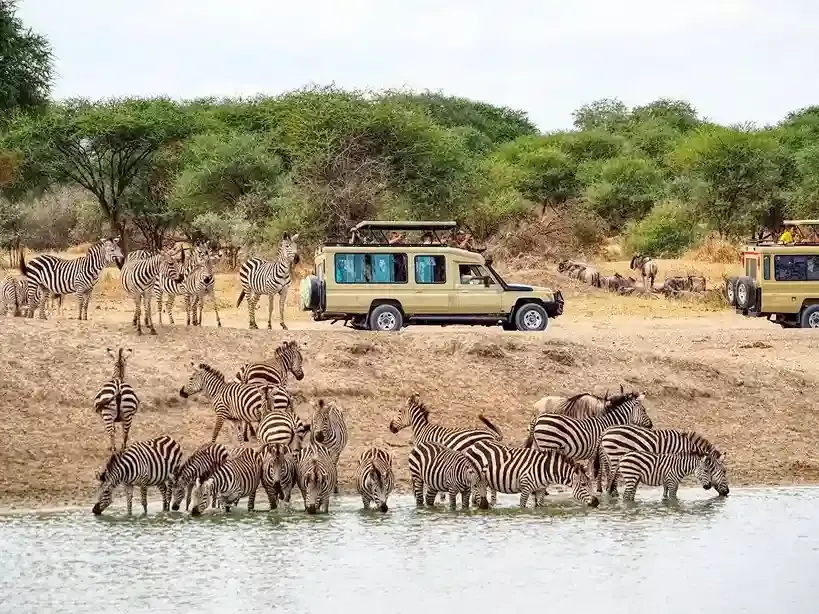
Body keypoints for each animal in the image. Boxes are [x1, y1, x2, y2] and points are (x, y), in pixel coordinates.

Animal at [463, 440, 600, 508]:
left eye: (590, 484)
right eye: (583, 484)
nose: (597, 502)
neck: (546, 469)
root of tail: (474, 445)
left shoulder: (540, 489)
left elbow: (539, 506)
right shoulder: (526, 487)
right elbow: (522, 506)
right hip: (475, 479)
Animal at [599, 426, 728, 496]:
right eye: (724, 472)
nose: (727, 492)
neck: (685, 446)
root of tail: (605, 431)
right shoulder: (673, 459)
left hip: (608, 457)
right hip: (615, 456)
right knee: (611, 477)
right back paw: (613, 494)